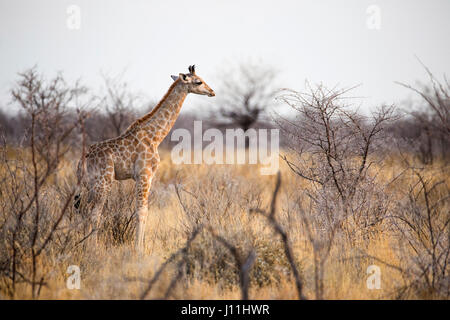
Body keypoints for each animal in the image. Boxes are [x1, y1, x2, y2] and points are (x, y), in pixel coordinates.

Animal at [74, 65, 215, 249]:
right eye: (198, 82)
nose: (212, 92)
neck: (155, 135)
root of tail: (83, 159)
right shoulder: (145, 175)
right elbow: (142, 211)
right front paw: (138, 249)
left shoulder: (142, 177)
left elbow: (141, 210)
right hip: (103, 182)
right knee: (94, 212)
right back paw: (93, 248)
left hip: (88, 183)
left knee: (83, 210)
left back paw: (83, 246)